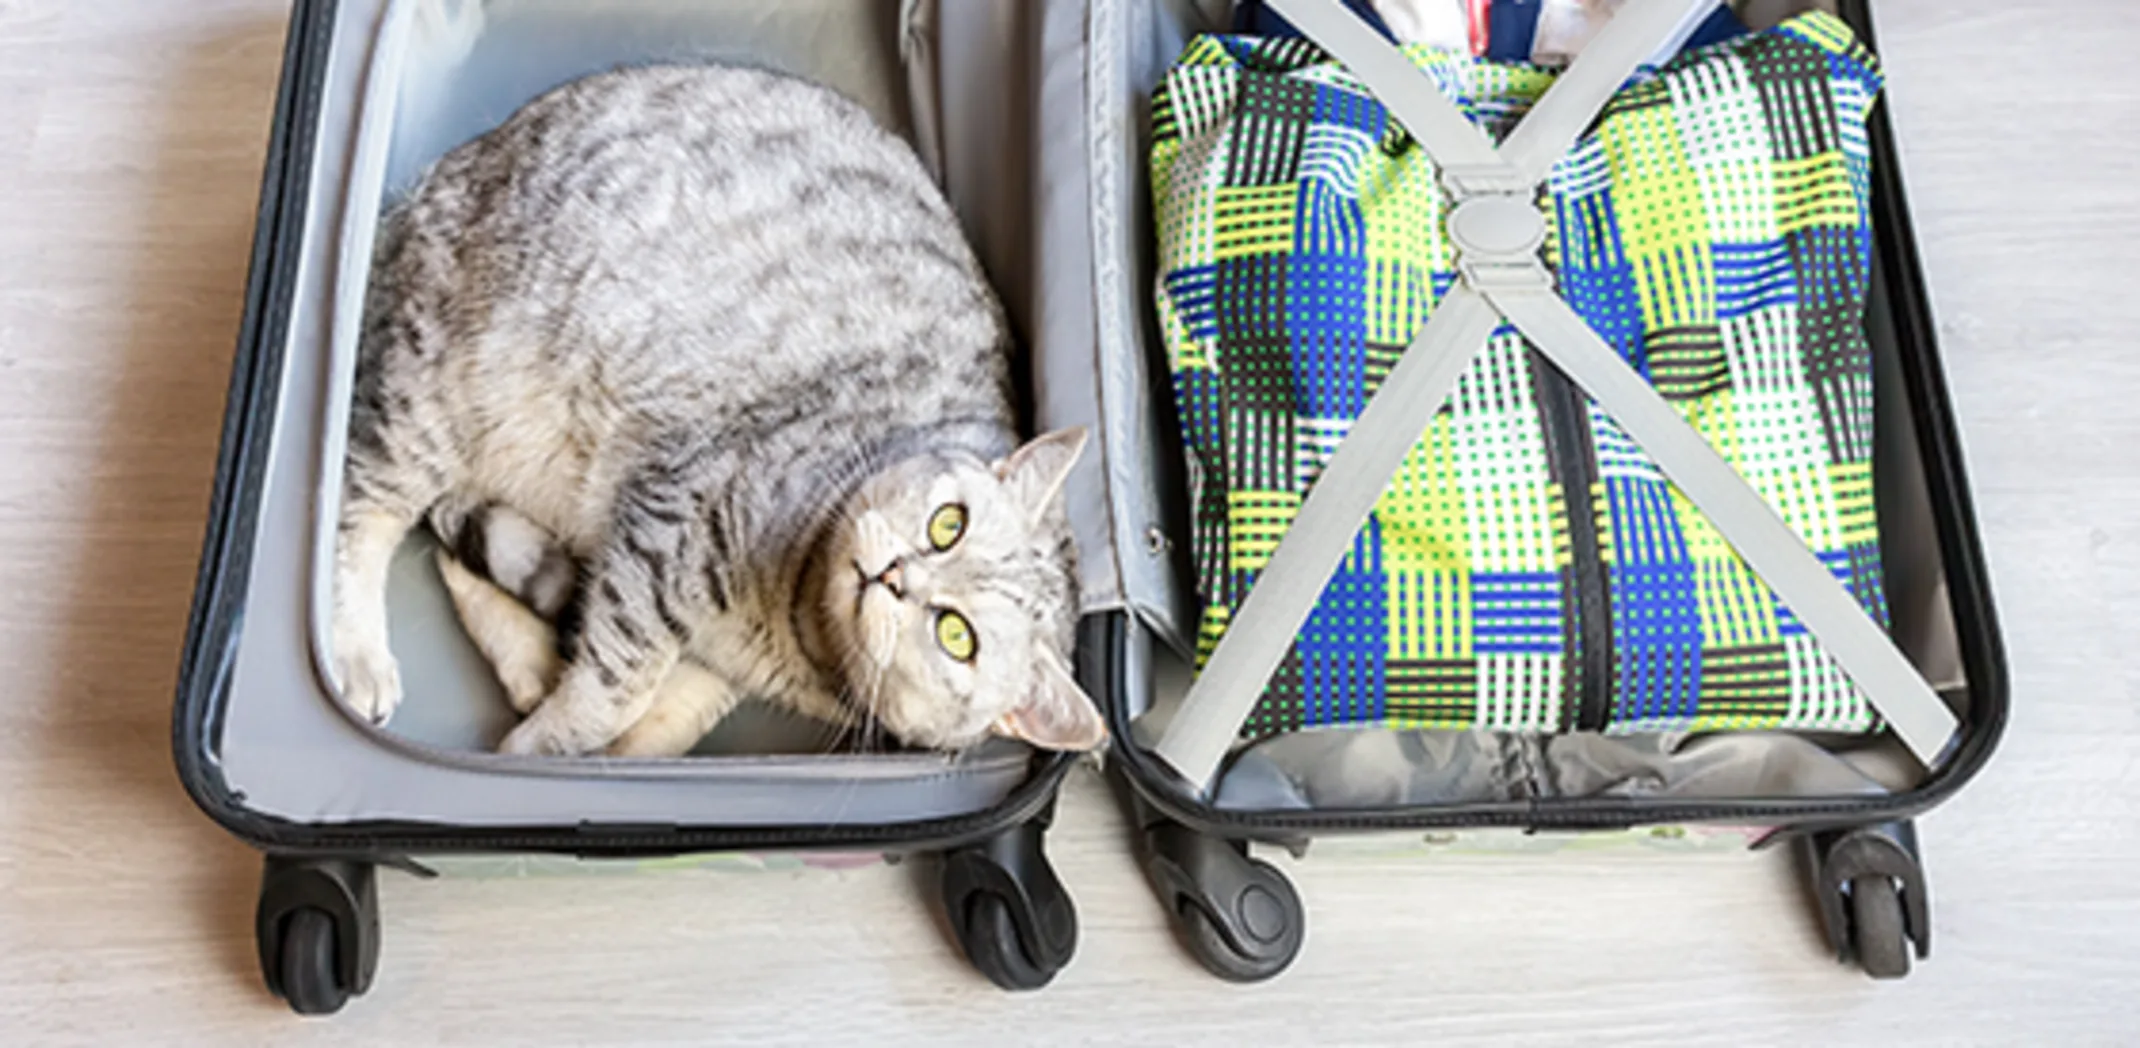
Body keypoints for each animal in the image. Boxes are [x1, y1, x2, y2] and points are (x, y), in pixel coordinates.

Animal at [338, 61, 1104, 757]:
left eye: (957, 634)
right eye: (949, 523)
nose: (892, 574)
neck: (801, 634)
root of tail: (432, 181)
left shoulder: (715, 668)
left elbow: (663, 717)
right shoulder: (675, 519)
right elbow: (617, 686)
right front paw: (542, 749)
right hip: (431, 392)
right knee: (361, 507)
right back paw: (360, 656)